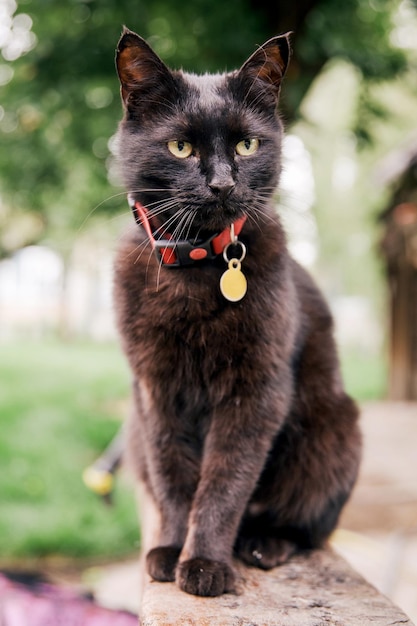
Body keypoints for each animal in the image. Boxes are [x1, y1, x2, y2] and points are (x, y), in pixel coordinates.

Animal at [113, 29, 360, 596]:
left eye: (247, 144)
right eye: (180, 146)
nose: (223, 184)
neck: (196, 265)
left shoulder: (255, 392)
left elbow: (225, 481)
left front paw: (205, 563)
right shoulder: (156, 393)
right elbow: (174, 475)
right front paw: (170, 550)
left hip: (334, 430)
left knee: (304, 525)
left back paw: (263, 544)